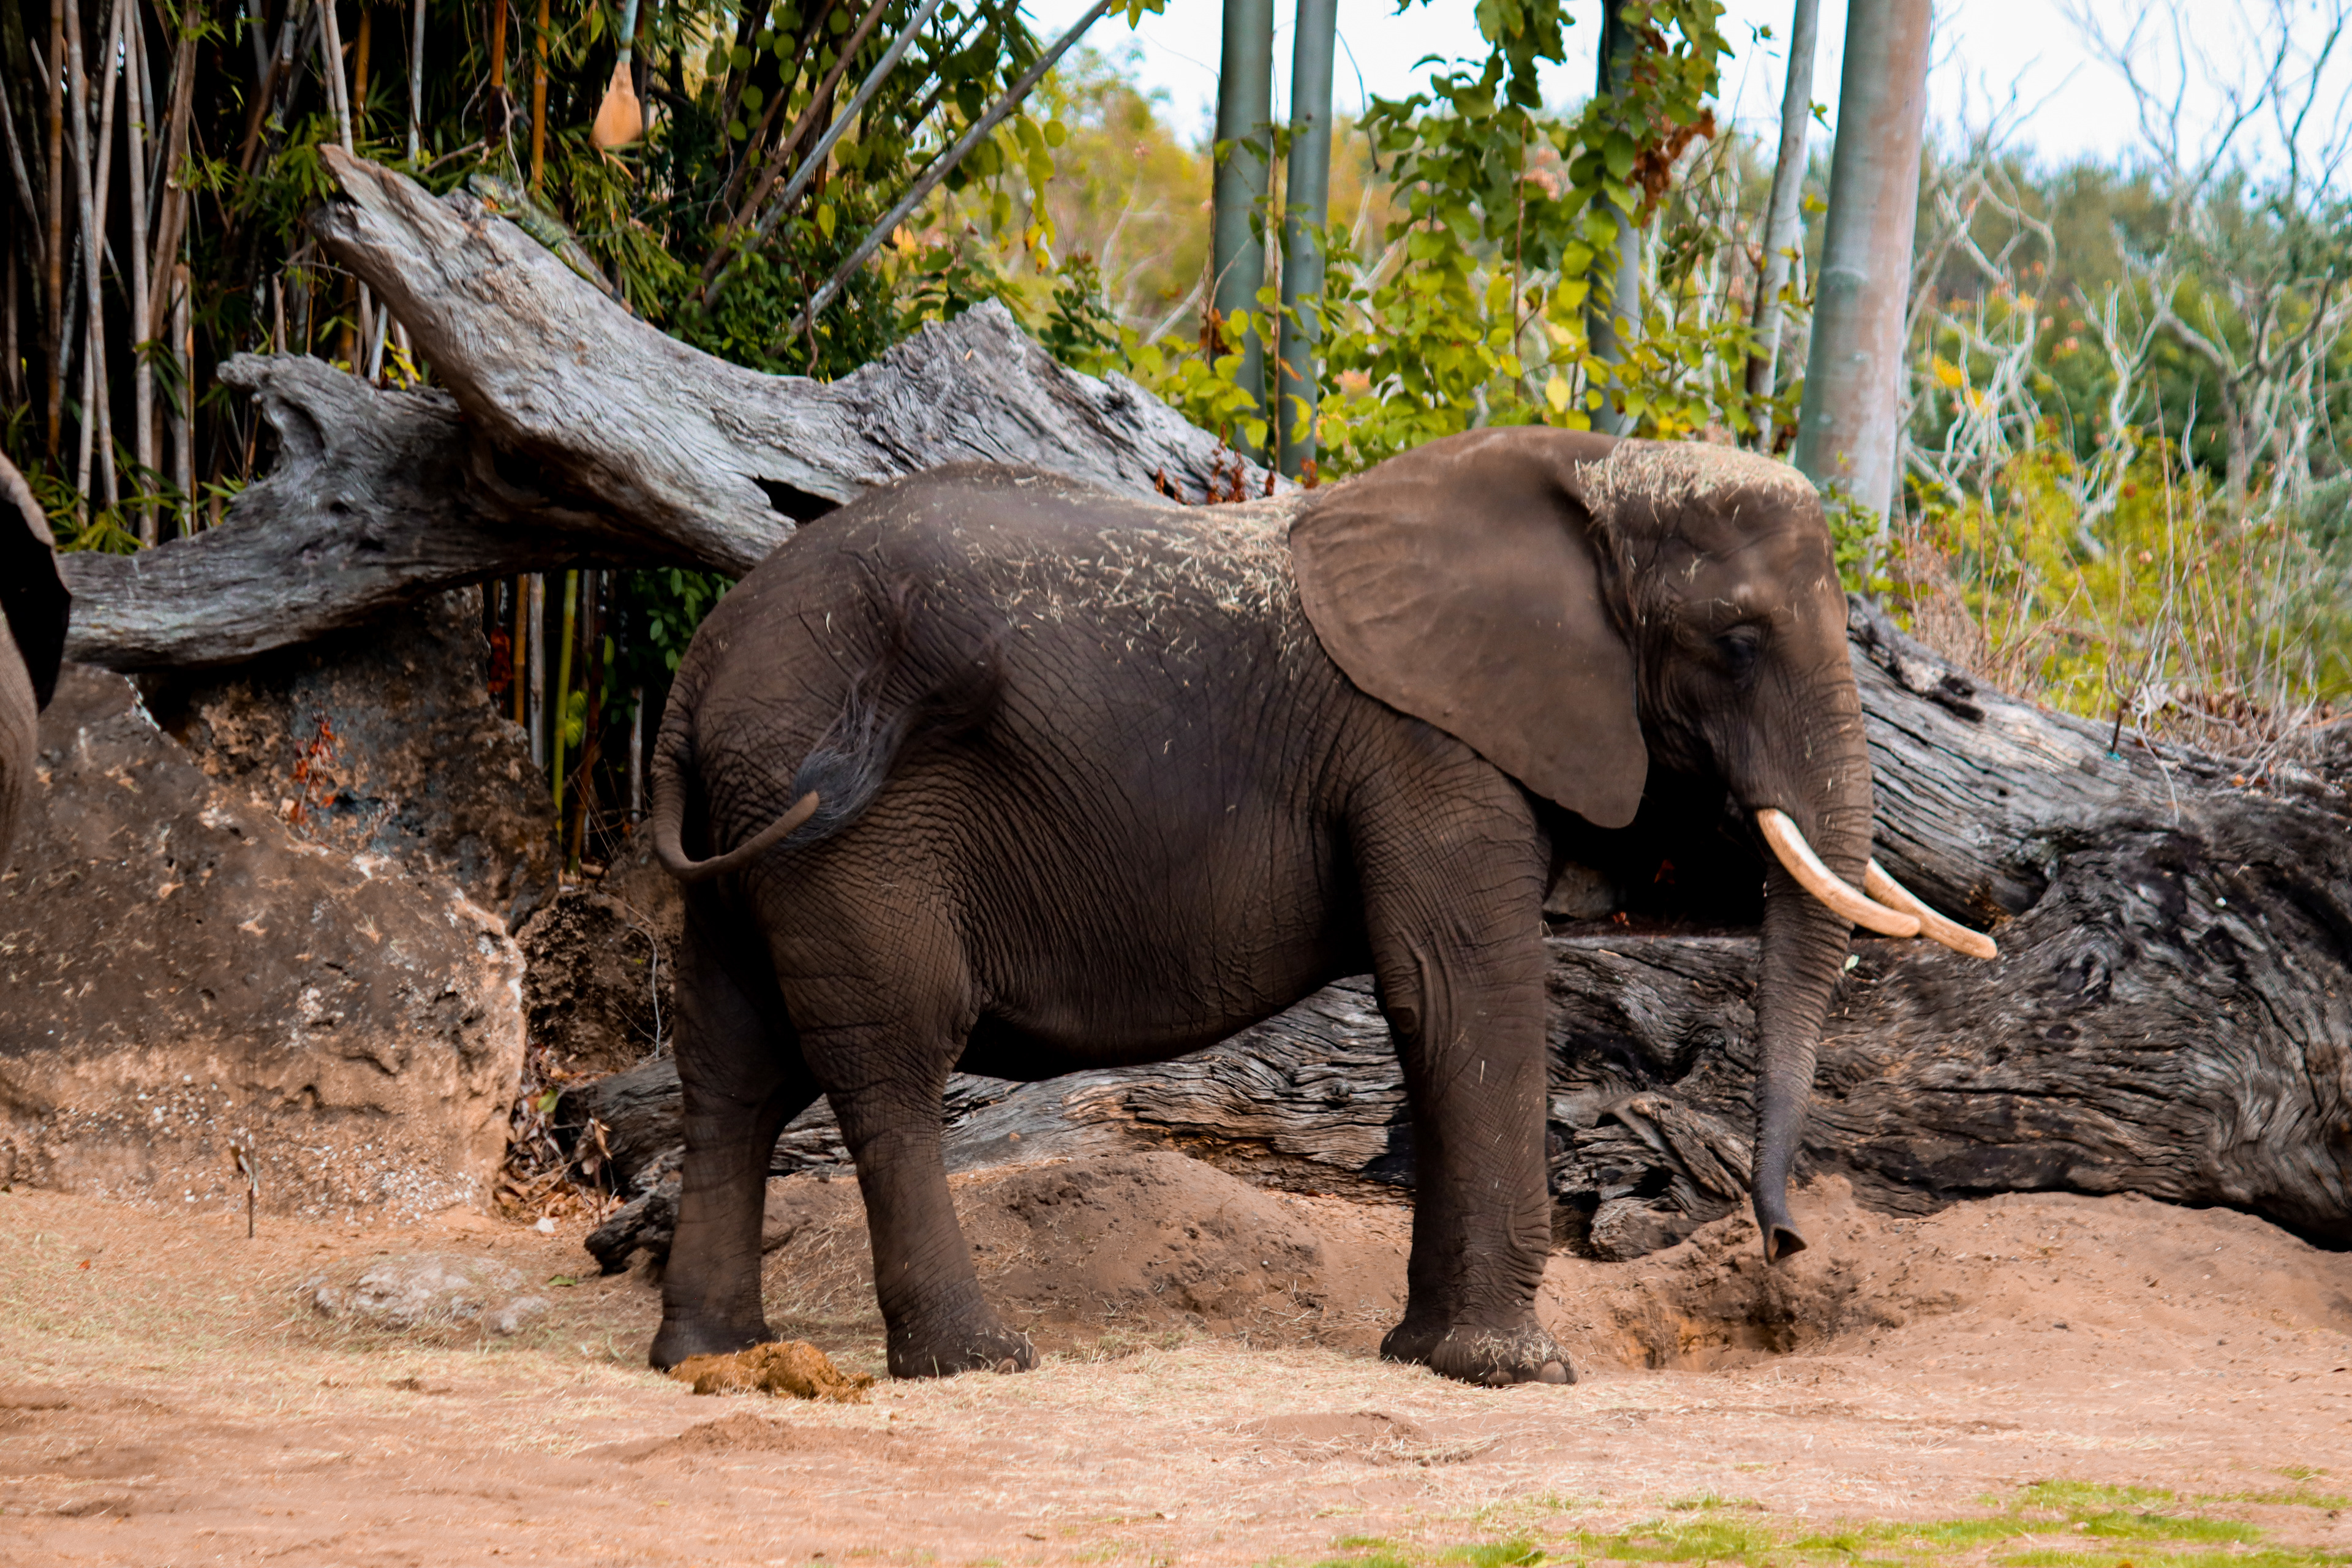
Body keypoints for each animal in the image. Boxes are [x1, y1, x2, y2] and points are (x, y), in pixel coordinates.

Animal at [646, 426, 1991, 1386]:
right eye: (1738, 637)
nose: (1786, 1251)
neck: (1603, 470)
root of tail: (700, 669)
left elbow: (1437, 1010)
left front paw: (1427, 1359)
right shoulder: (1430, 745)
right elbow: (1464, 990)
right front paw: (1517, 1372)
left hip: (751, 824)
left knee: (734, 1067)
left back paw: (710, 1355)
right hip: (846, 831)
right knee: (891, 1057)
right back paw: (976, 1361)